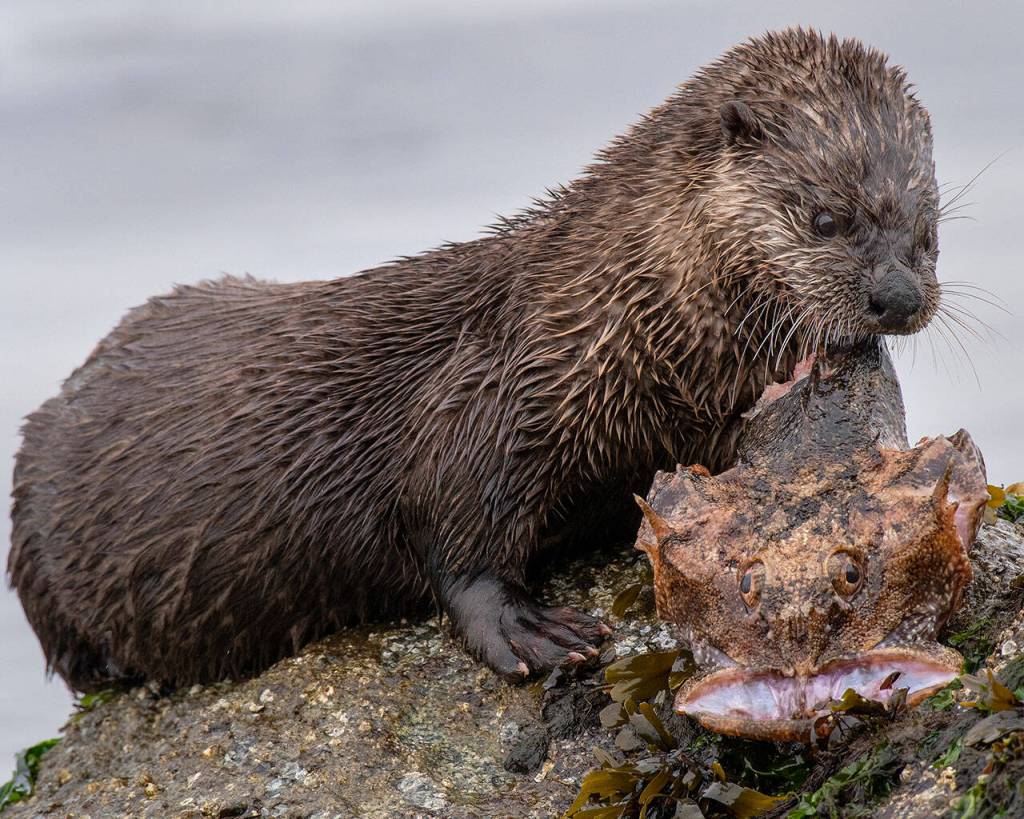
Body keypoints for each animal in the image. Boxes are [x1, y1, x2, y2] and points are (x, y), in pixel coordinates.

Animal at [8, 28, 942, 691]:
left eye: (928, 230)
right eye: (825, 218)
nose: (897, 296)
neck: (628, 318)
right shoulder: (499, 389)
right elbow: (456, 524)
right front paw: (534, 630)